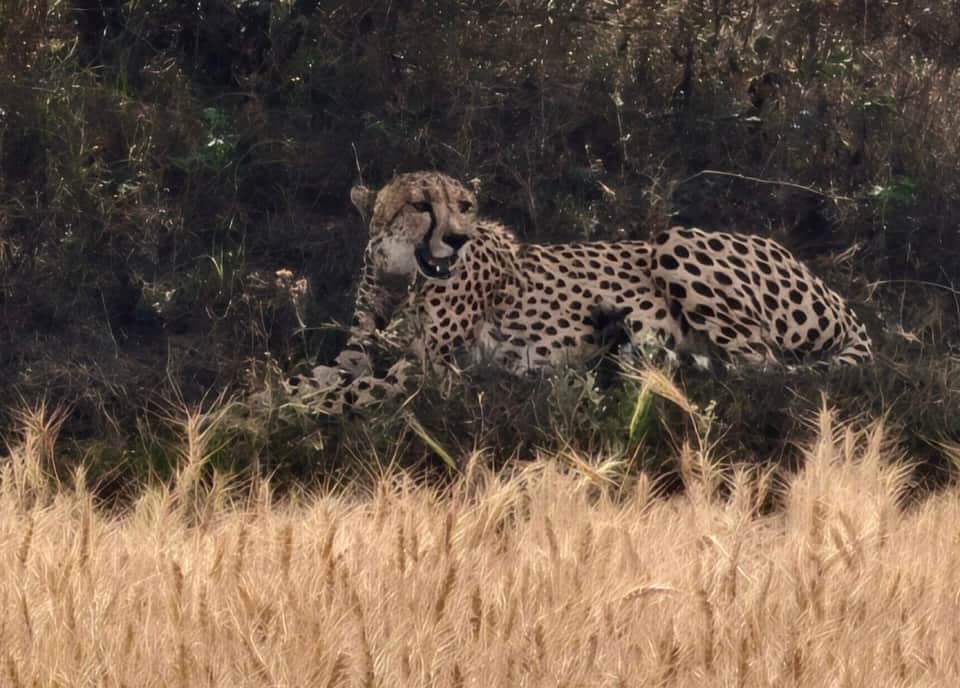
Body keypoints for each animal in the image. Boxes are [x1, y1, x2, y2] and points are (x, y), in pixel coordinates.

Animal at [288, 172, 872, 414]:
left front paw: (287, 408)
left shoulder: (431, 371)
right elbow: (321, 374)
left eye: (465, 205)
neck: (400, 276)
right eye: (419, 205)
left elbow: (349, 391)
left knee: (763, 369)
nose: (456, 237)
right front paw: (281, 394)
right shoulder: (360, 348)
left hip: (676, 240)